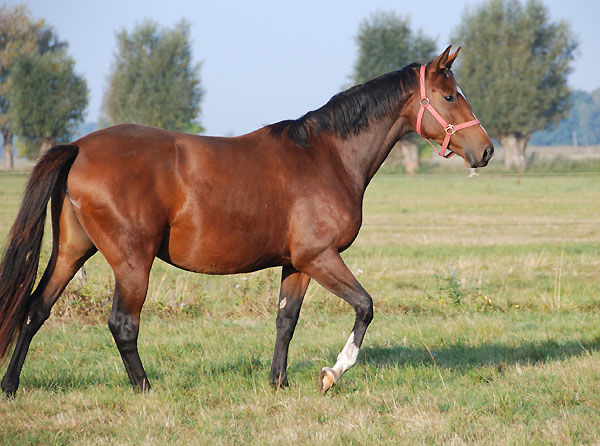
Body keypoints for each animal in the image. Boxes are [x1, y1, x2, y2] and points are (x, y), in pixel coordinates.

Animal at [0, 45, 492, 396]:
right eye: (450, 96)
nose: (485, 150)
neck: (327, 155)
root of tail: (80, 146)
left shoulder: (297, 263)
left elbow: (285, 321)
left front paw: (279, 381)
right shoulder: (320, 257)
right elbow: (365, 307)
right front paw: (332, 373)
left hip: (72, 250)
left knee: (36, 309)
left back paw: (11, 385)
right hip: (131, 261)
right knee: (122, 323)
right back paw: (145, 388)